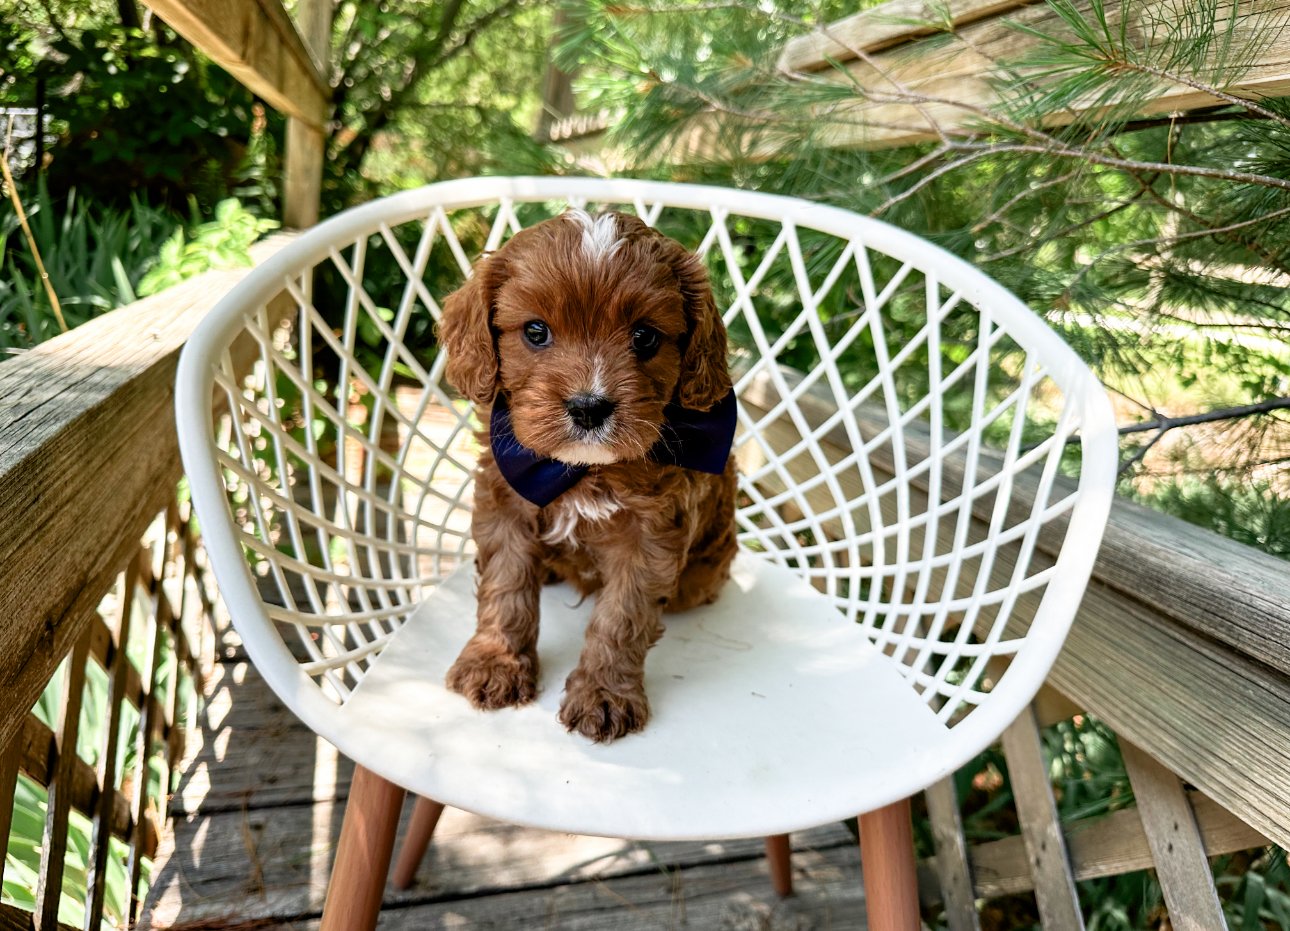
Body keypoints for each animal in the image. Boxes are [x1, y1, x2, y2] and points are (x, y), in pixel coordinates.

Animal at [436, 208, 737, 737]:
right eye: (536, 331)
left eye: (645, 336)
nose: (589, 406)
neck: (582, 470)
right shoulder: (506, 501)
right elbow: (505, 586)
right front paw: (494, 663)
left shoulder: (650, 538)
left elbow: (622, 617)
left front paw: (604, 695)